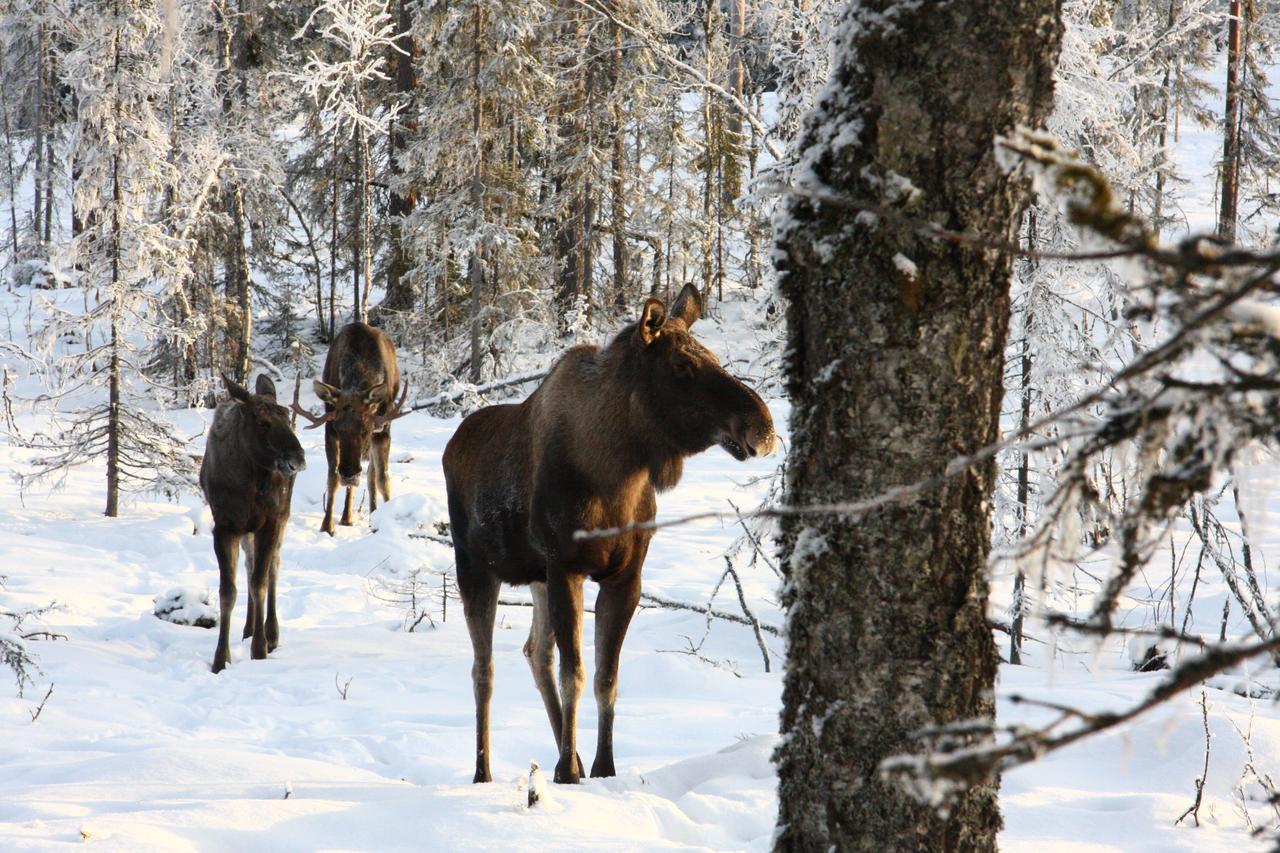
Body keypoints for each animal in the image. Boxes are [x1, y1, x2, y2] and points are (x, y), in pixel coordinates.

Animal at [202, 371, 307, 671]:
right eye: (263, 422)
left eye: (286, 414)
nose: (298, 458)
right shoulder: (225, 527)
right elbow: (228, 591)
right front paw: (220, 659)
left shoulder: (270, 522)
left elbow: (260, 582)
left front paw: (260, 649)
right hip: (247, 531)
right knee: (249, 567)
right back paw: (249, 628)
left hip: (280, 518)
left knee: (272, 568)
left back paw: (270, 633)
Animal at [293, 322, 407, 535]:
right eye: (338, 429)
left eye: (365, 430)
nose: (349, 474)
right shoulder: (329, 429)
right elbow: (332, 478)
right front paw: (327, 526)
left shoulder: (383, 429)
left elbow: (383, 479)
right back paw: (347, 517)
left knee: (371, 474)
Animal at [440, 285, 778, 783]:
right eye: (682, 365)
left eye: (713, 357)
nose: (764, 427)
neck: (619, 472)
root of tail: (452, 445)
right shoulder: (567, 567)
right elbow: (575, 673)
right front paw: (567, 772)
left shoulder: (624, 575)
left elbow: (606, 677)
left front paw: (601, 767)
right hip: (476, 568)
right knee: (484, 670)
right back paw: (484, 773)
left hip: (536, 578)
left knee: (534, 652)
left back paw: (571, 756)